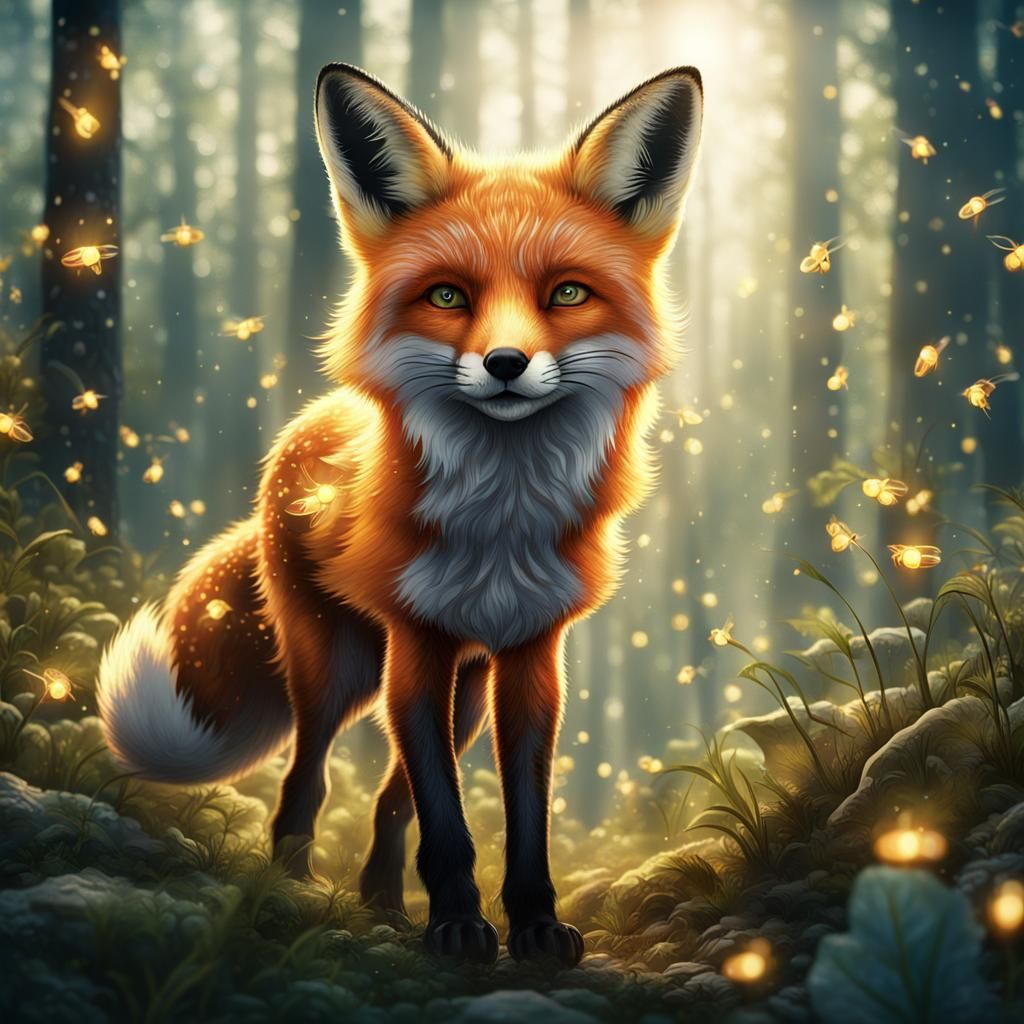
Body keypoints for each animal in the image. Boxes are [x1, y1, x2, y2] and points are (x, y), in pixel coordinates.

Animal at [97, 62, 703, 967]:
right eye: (447, 295)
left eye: (567, 293)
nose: (506, 363)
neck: (500, 522)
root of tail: (303, 425)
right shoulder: (417, 647)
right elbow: (444, 823)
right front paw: (455, 925)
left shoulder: (531, 659)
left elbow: (516, 816)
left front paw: (530, 923)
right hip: (340, 667)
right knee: (306, 777)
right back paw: (294, 886)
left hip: (465, 695)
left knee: (388, 800)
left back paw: (382, 901)